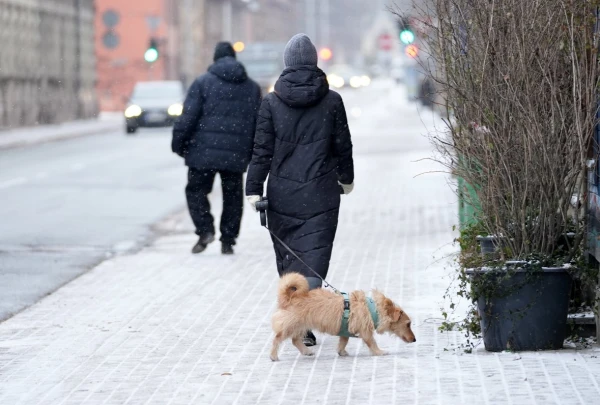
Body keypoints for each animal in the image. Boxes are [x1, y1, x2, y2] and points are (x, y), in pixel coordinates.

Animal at [270, 272, 414, 360]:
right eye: (408, 324)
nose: (415, 340)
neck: (373, 309)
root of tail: (289, 297)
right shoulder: (365, 331)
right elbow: (372, 343)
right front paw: (380, 352)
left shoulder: (345, 330)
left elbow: (343, 342)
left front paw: (341, 352)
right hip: (290, 326)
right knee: (277, 339)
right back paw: (273, 356)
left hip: (301, 326)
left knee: (295, 340)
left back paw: (306, 351)